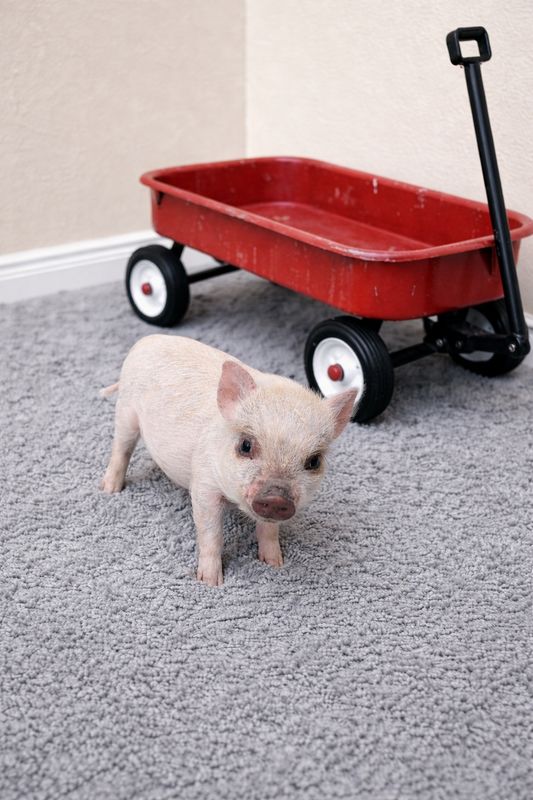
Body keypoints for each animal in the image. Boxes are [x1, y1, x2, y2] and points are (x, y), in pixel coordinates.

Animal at [100, 335, 356, 587]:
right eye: (245, 445)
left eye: (314, 461)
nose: (276, 497)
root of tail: (144, 341)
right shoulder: (204, 485)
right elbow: (211, 533)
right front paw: (211, 583)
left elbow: (269, 531)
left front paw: (275, 564)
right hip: (125, 410)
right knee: (121, 448)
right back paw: (110, 490)